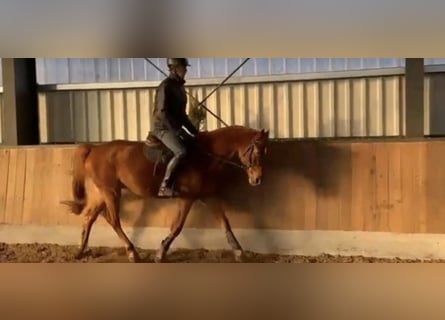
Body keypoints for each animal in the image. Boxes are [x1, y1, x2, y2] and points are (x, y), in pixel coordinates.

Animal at [61, 125, 268, 262]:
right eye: (257, 151)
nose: (257, 179)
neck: (205, 156)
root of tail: (94, 148)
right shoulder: (187, 198)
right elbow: (177, 227)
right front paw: (160, 254)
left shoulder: (209, 196)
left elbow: (225, 222)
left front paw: (239, 253)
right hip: (111, 192)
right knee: (113, 220)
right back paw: (132, 253)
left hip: (101, 192)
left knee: (89, 217)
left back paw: (80, 251)